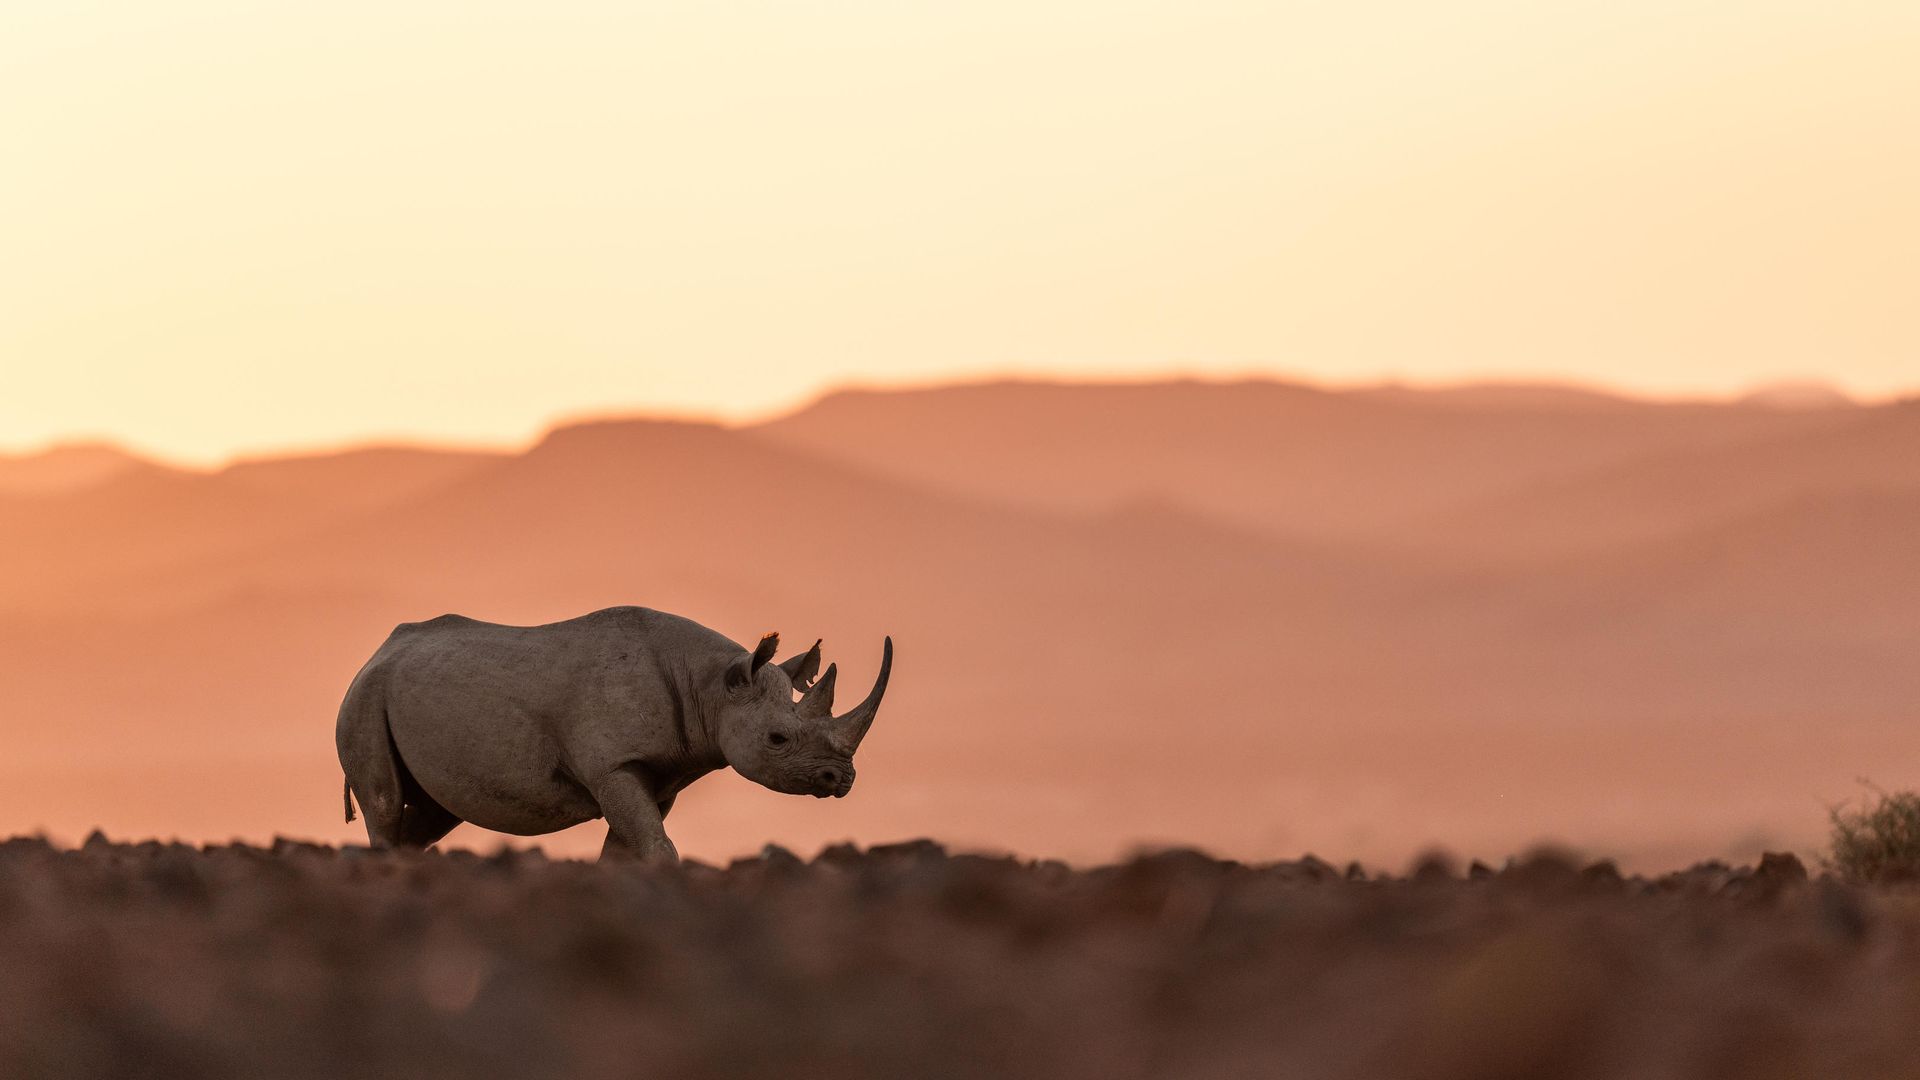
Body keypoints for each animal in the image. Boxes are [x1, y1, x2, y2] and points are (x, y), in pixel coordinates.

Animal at [335, 606, 892, 862]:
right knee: (385, 803)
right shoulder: (612, 765)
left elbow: (630, 845)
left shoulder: (662, 774)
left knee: (434, 814)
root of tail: (375, 654)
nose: (840, 779)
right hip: (363, 700)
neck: (713, 687)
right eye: (777, 740)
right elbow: (653, 842)